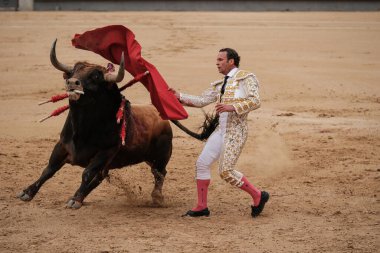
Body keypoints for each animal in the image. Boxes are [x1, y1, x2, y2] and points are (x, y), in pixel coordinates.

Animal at [17, 40, 199, 210]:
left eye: (95, 77)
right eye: (73, 71)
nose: (72, 82)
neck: (83, 129)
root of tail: (160, 114)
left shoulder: (105, 152)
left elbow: (86, 173)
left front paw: (74, 200)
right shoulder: (62, 145)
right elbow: (49, 169)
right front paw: (27, 192)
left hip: (160, 156)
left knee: (159, 173)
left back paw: (157, 197)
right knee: (101, 177)